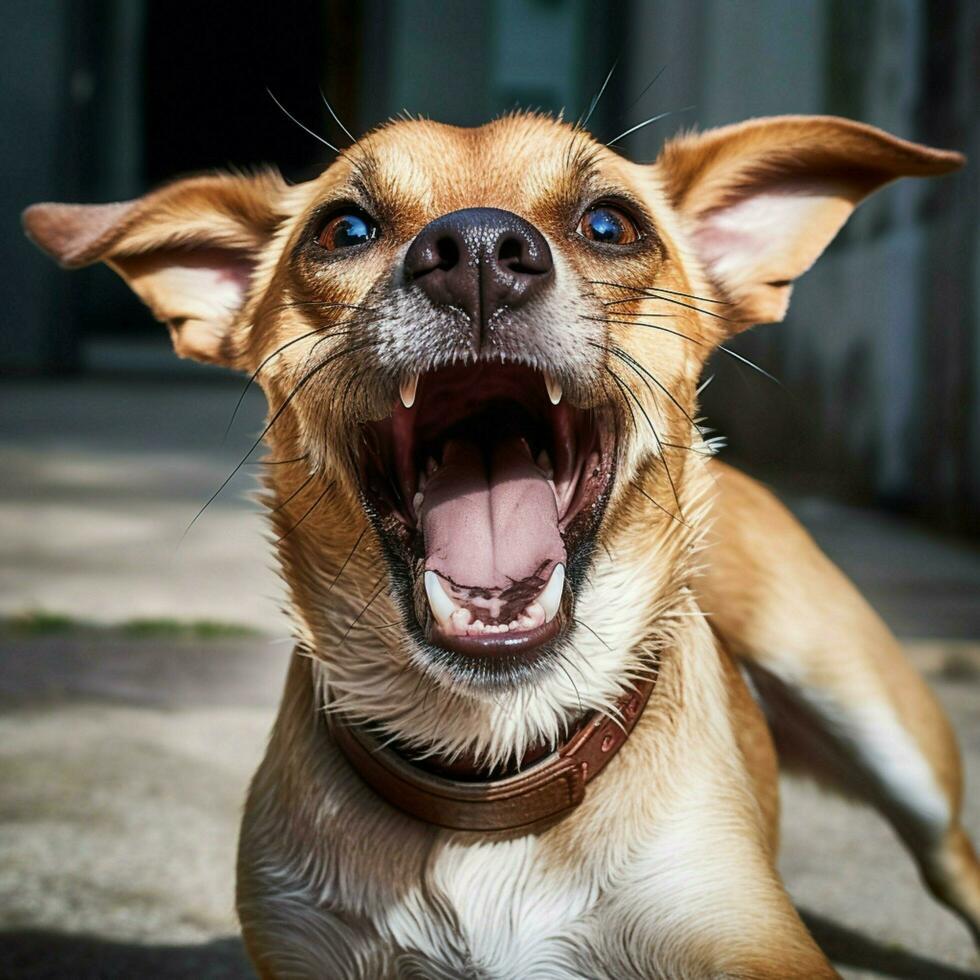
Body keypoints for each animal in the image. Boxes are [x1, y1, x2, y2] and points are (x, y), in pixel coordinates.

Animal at [26, 111, 976, 976]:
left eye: (610, 223)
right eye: (343, 229)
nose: (478, 247)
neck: (489, 766)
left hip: (875, 719)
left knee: (952, 859)